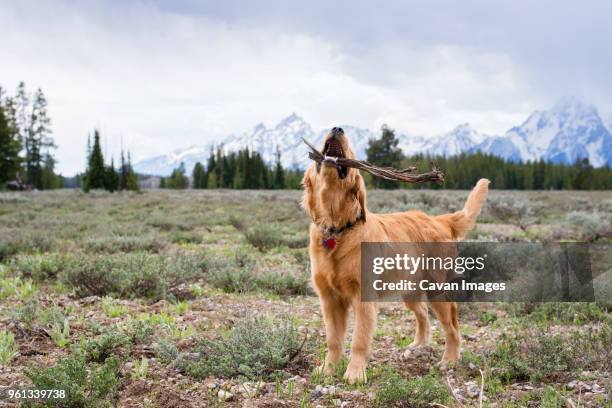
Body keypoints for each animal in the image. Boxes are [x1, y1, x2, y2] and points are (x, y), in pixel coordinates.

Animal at [302, 126, 488, 382]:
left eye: (351, 150)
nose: (338, 128)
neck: (337, 227)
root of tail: (438, 219)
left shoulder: (363, 298)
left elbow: (359, 340)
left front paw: (354, 373)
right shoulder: (329, 299)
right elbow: (333, 340)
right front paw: (328, 369)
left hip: (436, 290)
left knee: (452, 323)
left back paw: (449, 360)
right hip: (410, 289)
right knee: (422, 313)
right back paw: (419, 345)